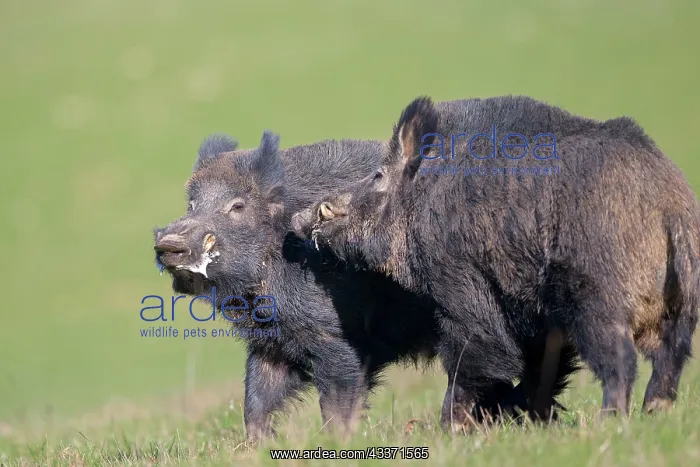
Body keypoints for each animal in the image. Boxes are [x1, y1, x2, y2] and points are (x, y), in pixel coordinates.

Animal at [293, 95, 700, 429]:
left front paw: (449, 429)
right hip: (680, 311)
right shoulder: (538, 321)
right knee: (670, 361)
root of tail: (671, 206)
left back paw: (609, 423)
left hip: (599, 302)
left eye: (379, 175)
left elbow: (476, 357)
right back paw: (654, 414)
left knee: (622, 363)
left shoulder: (461, 283)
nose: (300, 217)